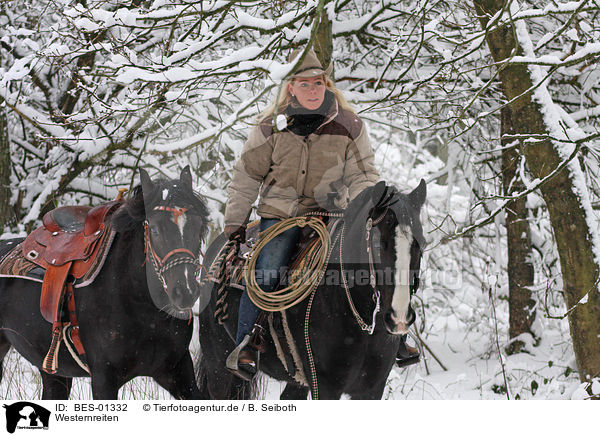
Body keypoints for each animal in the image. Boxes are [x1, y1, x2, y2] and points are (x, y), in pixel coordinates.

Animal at [0, 169, 209, 400]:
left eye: (199, 226)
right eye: (154, 229)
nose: (185, 291)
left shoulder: (178, 371)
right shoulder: (103, 379)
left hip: (53, 371)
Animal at [197, 180, 426, 398]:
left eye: (421, 244)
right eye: (377, 244)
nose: (399, 318)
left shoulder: (372, 389)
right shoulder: (325, 384)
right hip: (217, 360)